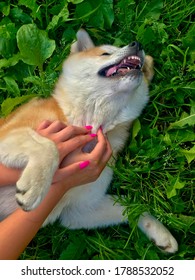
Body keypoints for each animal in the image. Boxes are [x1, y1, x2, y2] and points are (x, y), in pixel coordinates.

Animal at [0, 29, 178, 253]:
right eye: (105, 53)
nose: (137, 44)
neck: (90, 124)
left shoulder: (79, 210)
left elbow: (130, 206)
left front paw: (159, 232)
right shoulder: (10, 134)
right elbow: (49, 147)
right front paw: (34, 188)